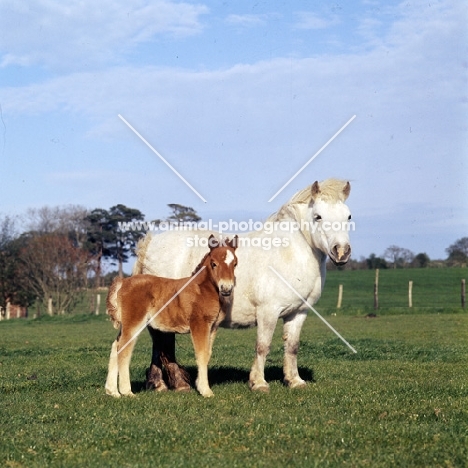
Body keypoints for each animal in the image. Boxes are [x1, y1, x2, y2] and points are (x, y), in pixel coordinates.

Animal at [105, 236, 238, 396]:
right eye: (214, 264)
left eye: (235, 263)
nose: (226, 288)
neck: (202, 289)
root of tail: (123, 282)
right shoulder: (199, 325)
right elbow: (201, 354)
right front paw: (206, 391)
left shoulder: (212, 327)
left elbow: (207, 354)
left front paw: (200, 385)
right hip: (134, 322)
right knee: (123, 349)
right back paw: (126, 392)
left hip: (126, 325)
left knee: (115, 346)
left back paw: (112, 391)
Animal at [133, 179, 352, 392]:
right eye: (318, 216)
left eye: (348, 216)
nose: (341, 252)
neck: (288, 253)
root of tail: (151, 244)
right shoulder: (268, 311)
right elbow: (263, 346)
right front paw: (259, 383)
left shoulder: (298, 312)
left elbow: (292, 346)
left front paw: (294, 381)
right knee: (163, 345)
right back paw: (175, 384)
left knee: (159, 345)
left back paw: (160, 384)